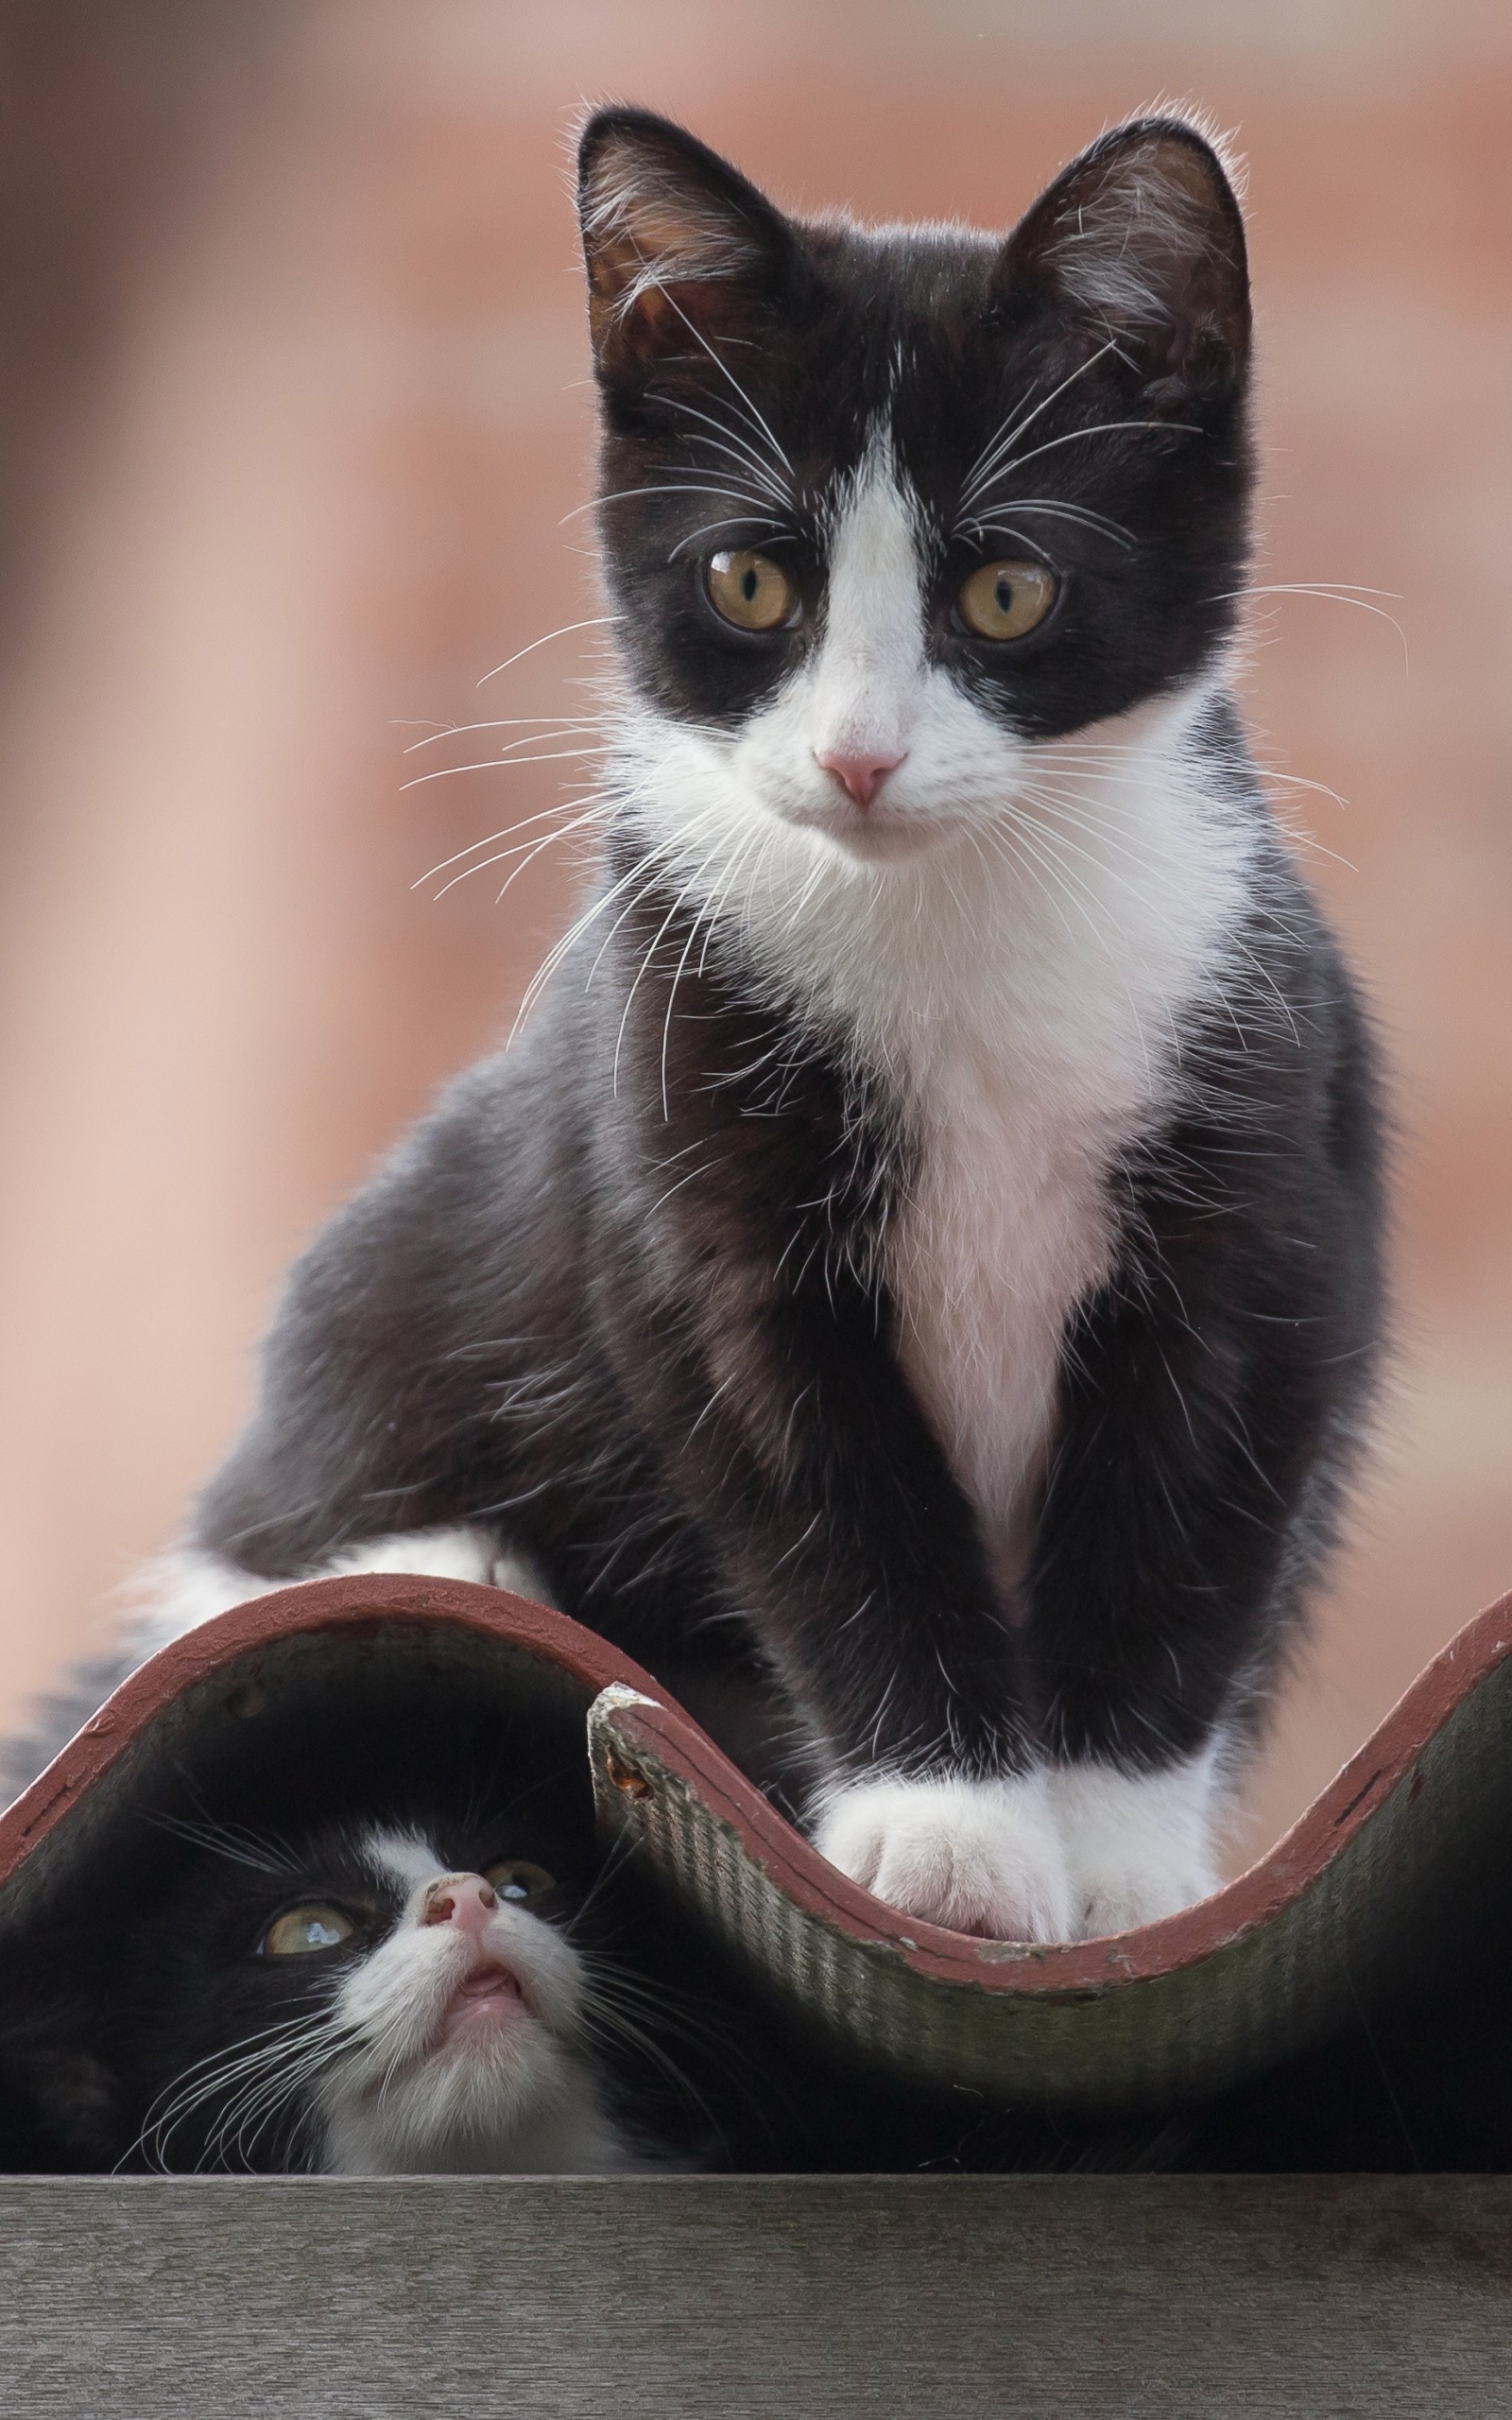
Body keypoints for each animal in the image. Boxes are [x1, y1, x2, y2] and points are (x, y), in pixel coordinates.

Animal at [117, 109, 1383, 1945]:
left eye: (1008, 592)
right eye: (750, 578)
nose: (858, 758)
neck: (950, 923)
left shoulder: (1268, 1169)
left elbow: (1184, 1524)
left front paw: (1118, 1857)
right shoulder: (698, 1188)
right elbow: (833, 1510)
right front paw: (951, 1829)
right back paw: (438, 1560)